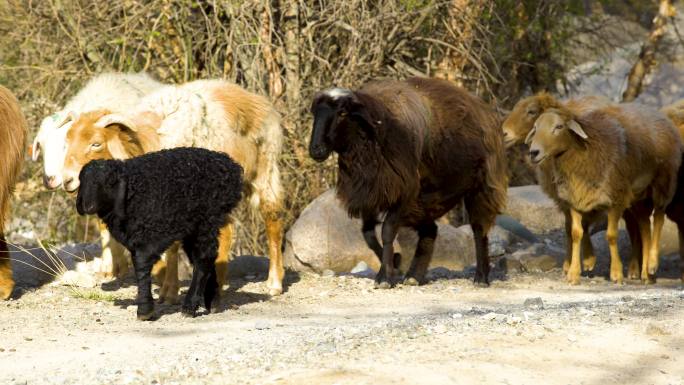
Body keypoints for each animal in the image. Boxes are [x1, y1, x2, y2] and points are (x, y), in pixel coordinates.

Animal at [76, 147, 243, 318]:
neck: (133, 191)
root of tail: (230, 164)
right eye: (83, 181)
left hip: (206, 220)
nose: (88, 206)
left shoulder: (152, 236)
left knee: (204, 257)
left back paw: (190, 306)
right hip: (193, 228)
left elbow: (142, 264)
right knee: (203, 257)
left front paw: (144, 310)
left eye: (109, 182)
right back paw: (212, 300)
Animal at [310, 76, 508, 286]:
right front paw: (395, 263)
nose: (316, 149)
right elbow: (368, 235)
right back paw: (414, 275)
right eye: (315, 113)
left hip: (480, 187)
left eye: (342, 113)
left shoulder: (403, 193)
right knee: (430, 231)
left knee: (479, 230)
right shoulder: (371, 192)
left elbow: (387, 231)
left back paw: (481, 277)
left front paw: (385, 276)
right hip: (427, 197)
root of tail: (483, 109)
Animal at [524, 103, 680, 284]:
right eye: (535, 128)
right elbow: (576, 233)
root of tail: (657, 113)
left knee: (659, 218)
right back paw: (646, 274)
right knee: (645, 228)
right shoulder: (575, 198)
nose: (533, 152)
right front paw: (574, 273)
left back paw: (653, 264)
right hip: (639, 196)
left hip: (663, 182)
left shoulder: (616, 198)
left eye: (559, 126)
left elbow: (611, 235)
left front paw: (616, 273)